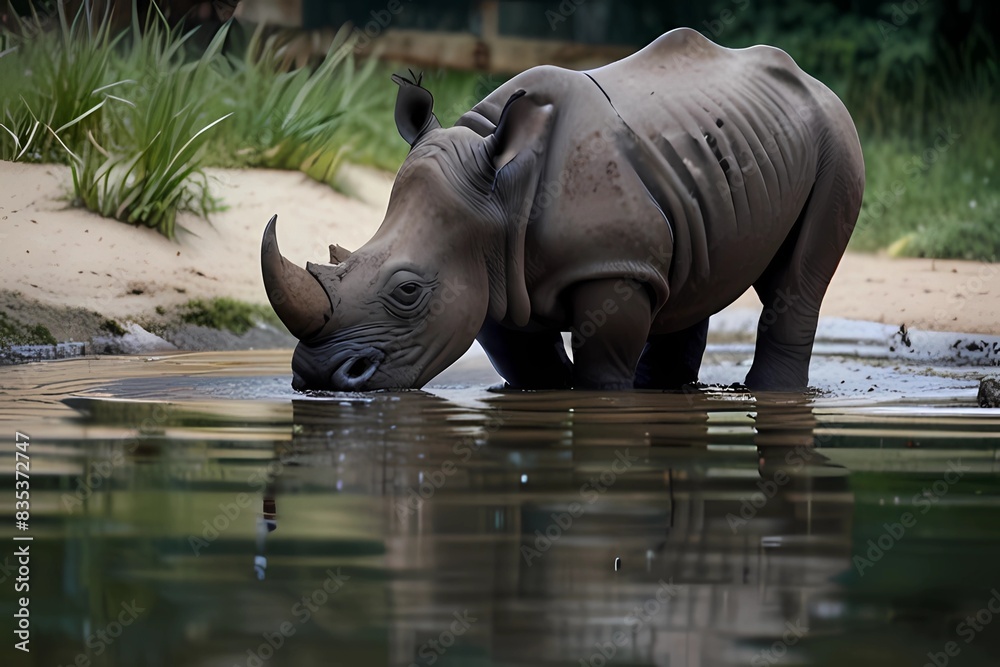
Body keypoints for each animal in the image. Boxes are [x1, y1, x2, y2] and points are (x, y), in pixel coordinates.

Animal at [261, 28, 865, 392]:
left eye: (408, 291)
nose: (315, 375)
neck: (500, 189)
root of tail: (810, 80)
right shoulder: (491, 271)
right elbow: (529, 366)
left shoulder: (613, 265)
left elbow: (602, 367)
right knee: (693, 270)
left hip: (837, 133)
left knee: (796, 281)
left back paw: (765, 392)